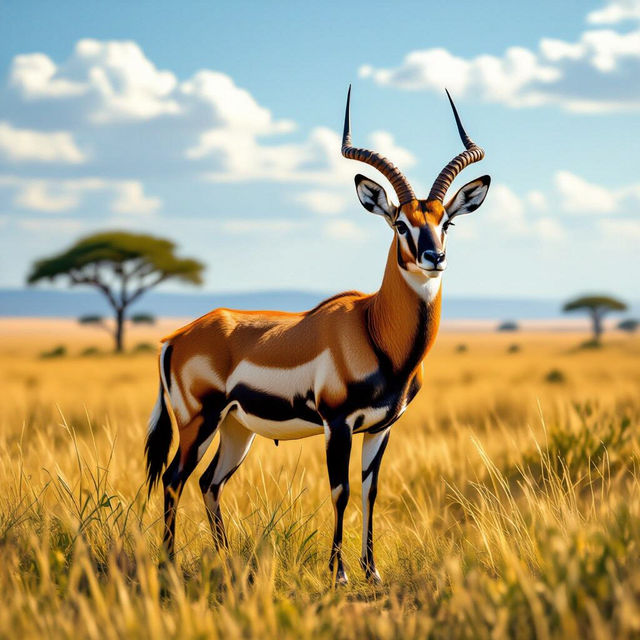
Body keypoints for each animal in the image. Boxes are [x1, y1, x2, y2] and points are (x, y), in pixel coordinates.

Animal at [145, 87, 490, 584]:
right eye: (399, 223)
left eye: (447, 222)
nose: (434, 257)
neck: (374, 328)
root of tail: (177, 337)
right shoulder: (337, 424)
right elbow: (340, 491)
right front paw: (340, 573)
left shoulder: (381, 427)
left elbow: (370, 492)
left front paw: (371, 571)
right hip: (198, 422)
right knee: (174, 480)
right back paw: (169, 562)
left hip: (235, 429)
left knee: (209, 482)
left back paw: (225, 559)